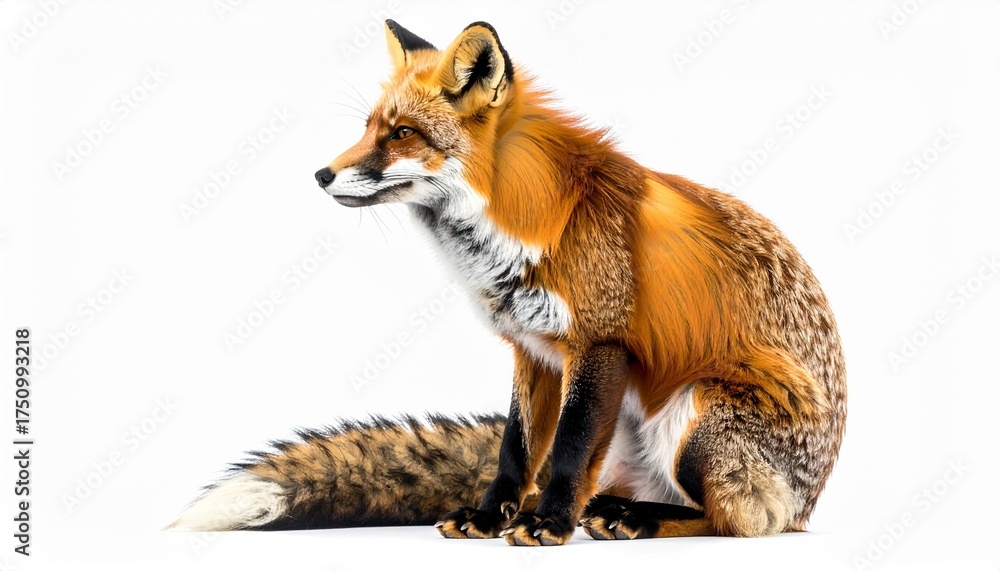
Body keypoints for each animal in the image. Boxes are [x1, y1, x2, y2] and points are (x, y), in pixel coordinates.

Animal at [171, 20, 846, 546]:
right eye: (367, 127)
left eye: (402, 133)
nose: (320, 174)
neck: (517, 230)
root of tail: (811, 502)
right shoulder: (533, 348)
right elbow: (516, 449)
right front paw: (493, 518)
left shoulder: (598, 344)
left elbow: (568, 450)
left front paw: (548, 524)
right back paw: (613, 508)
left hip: (699, 412)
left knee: (742, 520)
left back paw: (635, 518)